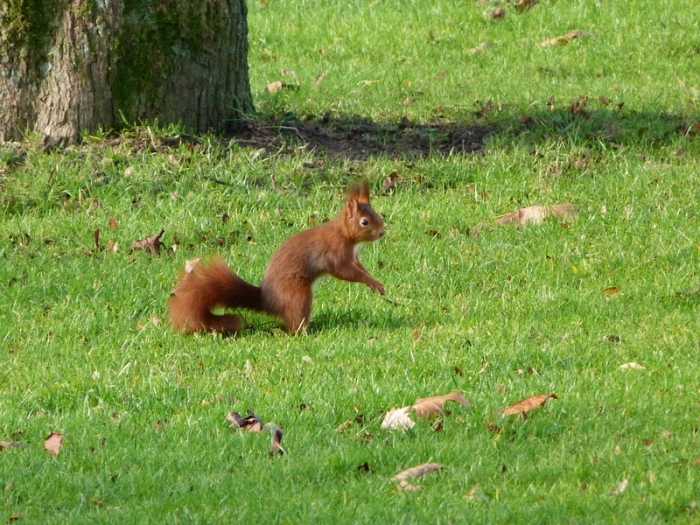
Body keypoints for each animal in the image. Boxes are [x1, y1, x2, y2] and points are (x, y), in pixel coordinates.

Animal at [168, 180, 386, 335]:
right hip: (297, 293)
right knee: (294, 323)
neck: (345, 235)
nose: (382, 233)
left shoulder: (353, 256)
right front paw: (372, 282)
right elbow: (346, 272)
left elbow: (359, 267)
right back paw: (306, 332)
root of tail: (268, 301)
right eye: (365, 222)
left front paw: (375, 281)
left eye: (378, 216)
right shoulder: (336, 253)